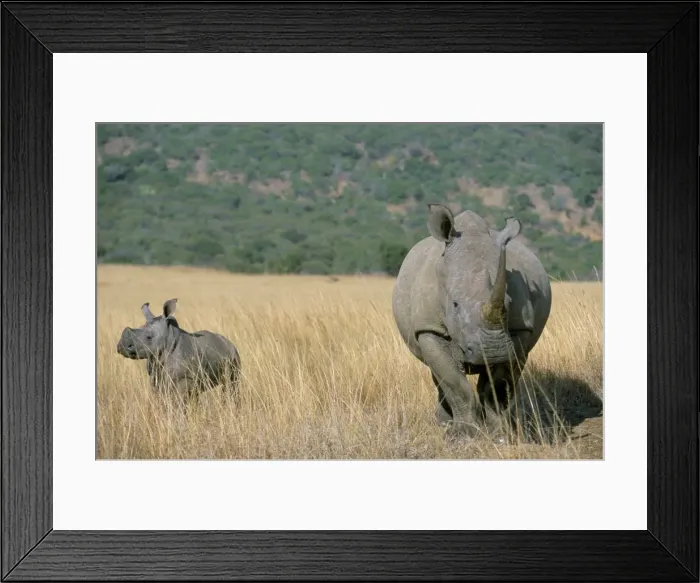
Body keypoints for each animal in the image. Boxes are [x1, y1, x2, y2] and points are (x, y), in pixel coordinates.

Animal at [392, 204, 552, 438]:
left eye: (509, 303)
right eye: (455, 304)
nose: (493, 351)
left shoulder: (519, 330)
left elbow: (496, 385)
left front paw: (500, 434)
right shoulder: (429, 328)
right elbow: (454, 383)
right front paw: (463, 435)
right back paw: (444, 423)